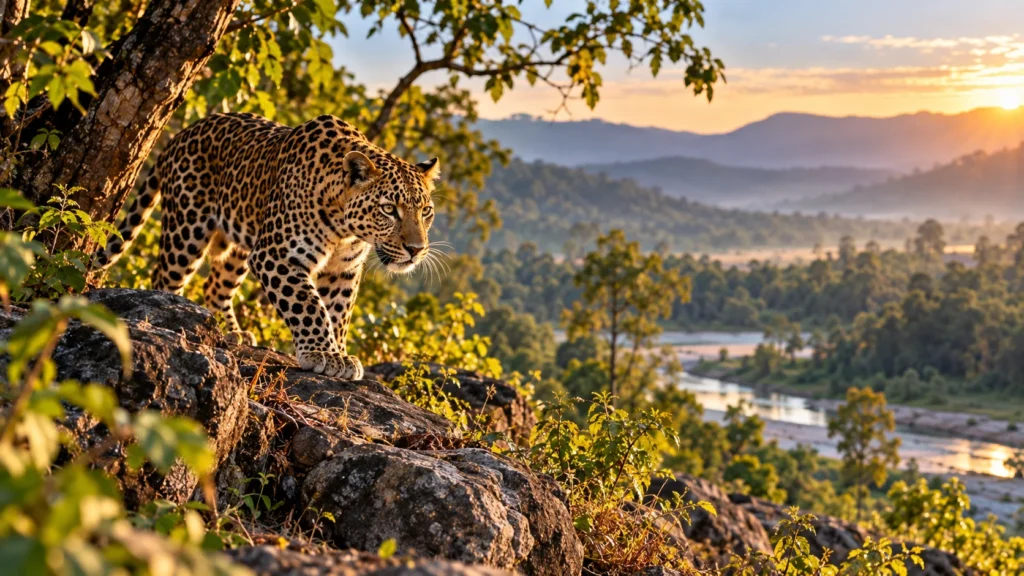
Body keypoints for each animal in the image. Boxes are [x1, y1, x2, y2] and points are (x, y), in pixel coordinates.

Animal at [96, 112, 440, 380]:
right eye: (389, 209)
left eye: (425, 211)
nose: (416, 250)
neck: (344, 230)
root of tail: (181, 134)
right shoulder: (276, 255)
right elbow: (308, 305)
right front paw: (322, 354)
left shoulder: (344, 269)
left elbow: (339, 313)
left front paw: (339, 353)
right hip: (187, 229)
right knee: (166, 277)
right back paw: (170, 318)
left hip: (237, 244)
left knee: (215, 286)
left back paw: (229, 331)